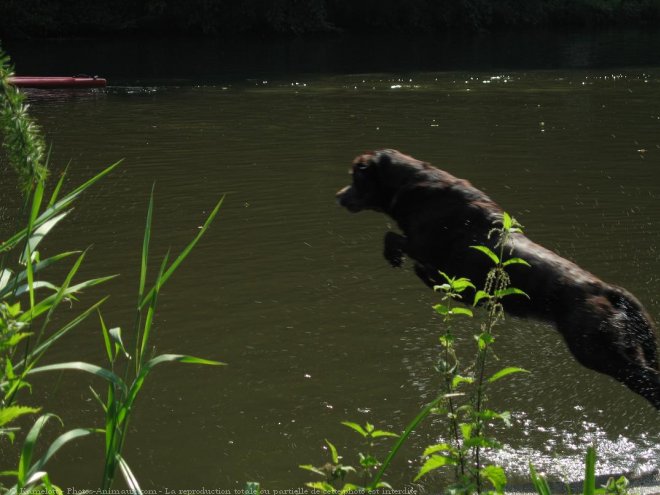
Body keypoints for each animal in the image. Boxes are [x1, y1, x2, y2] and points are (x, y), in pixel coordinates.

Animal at [338, 148, 656, 410]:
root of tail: (608, 290)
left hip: (600, 353)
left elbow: (394, 239)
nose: (339, 195)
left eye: (356, 178)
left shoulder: (423, 246)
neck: (413, 187)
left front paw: (396, 258)